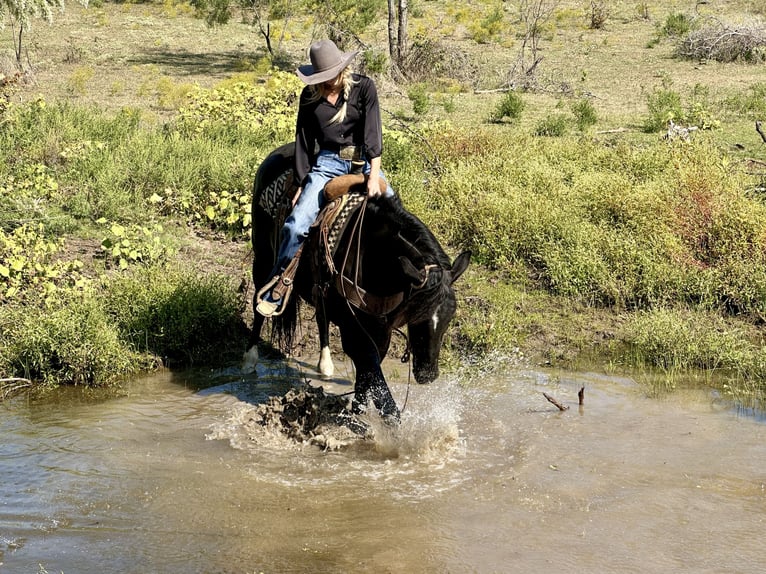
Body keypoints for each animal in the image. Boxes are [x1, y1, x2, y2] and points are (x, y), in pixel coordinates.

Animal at [243, 143, 472, 424]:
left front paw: (356, 413)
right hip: (263, 259)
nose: (428, 375)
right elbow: (379, 390)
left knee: (321, 317)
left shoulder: (380, 331)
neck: (373, 256)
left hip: (319, 291)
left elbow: (367, 380)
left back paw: (325, 365)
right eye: (418, 316)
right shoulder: (355, 332)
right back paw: (250, 360)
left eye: (450, 317)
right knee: (258, 306)